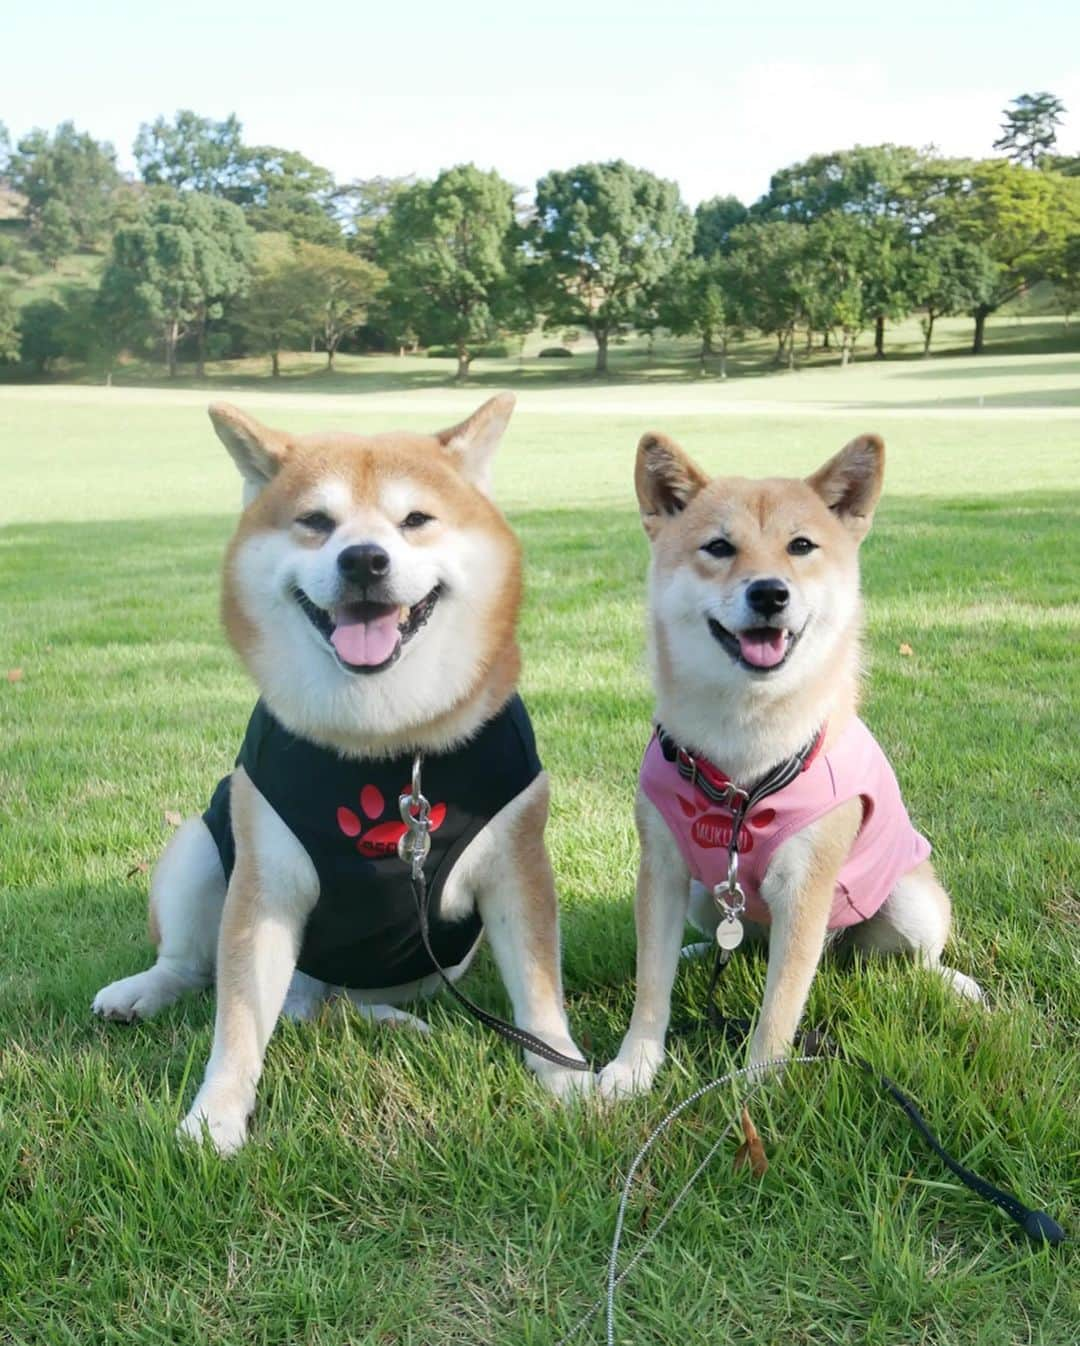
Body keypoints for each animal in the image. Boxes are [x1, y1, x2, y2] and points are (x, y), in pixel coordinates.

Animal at [90, 393, 589, 1152]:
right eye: (316, 522)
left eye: (416, 520)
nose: (363, 559)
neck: (387, 741)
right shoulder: (263, 887)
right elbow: (237, 1022)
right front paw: (215, 1115)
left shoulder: (517, 866)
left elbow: (537, 991)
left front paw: (569, 1076)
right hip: (201, 843)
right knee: (194, 966)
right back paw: (140, 991)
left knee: (344, 1007)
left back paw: (395, 1025)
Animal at [600, 436, 980, 1098]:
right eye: (719, 546)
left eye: (801, 546)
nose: (769, 592)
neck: (742, 762)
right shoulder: (664, 871)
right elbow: (651, 983)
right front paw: (634, 1067)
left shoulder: (804, 888)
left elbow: (780, 1005)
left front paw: (755, 1087)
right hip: (704, 897)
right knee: (740, 944)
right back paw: (698, 957)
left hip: (909, 902)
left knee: (914, 960)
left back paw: (952, 983)